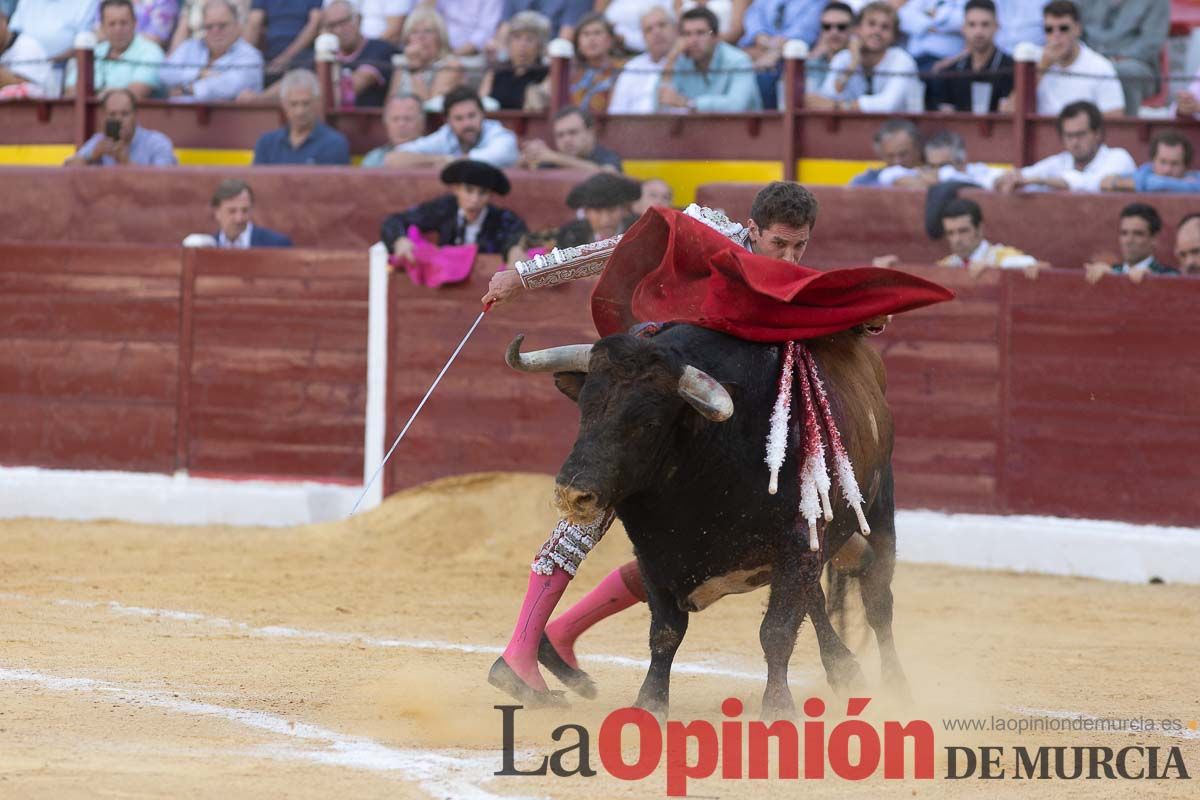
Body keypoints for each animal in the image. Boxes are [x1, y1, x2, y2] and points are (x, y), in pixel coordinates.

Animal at [506, 326, 907, 719]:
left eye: (649, 424)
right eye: (585, 408)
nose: (573, 494)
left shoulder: (798, 544)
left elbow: (776, 632)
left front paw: (778, 707)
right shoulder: (653, 554)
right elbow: (665, 632)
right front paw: (649, 703)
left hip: (877, 511)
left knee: (877, 601)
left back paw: (895, 688)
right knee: (817, 599)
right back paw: (846, 671)